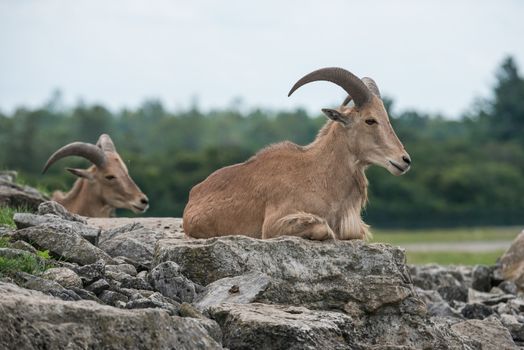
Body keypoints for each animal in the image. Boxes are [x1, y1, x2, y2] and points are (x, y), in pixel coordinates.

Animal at [182, 66, 412, 241]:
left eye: (387, 118)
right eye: (370, 120)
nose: (405, 160)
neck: (321, 176)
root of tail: (193, 194)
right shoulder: (275, 224)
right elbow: (323, 228)